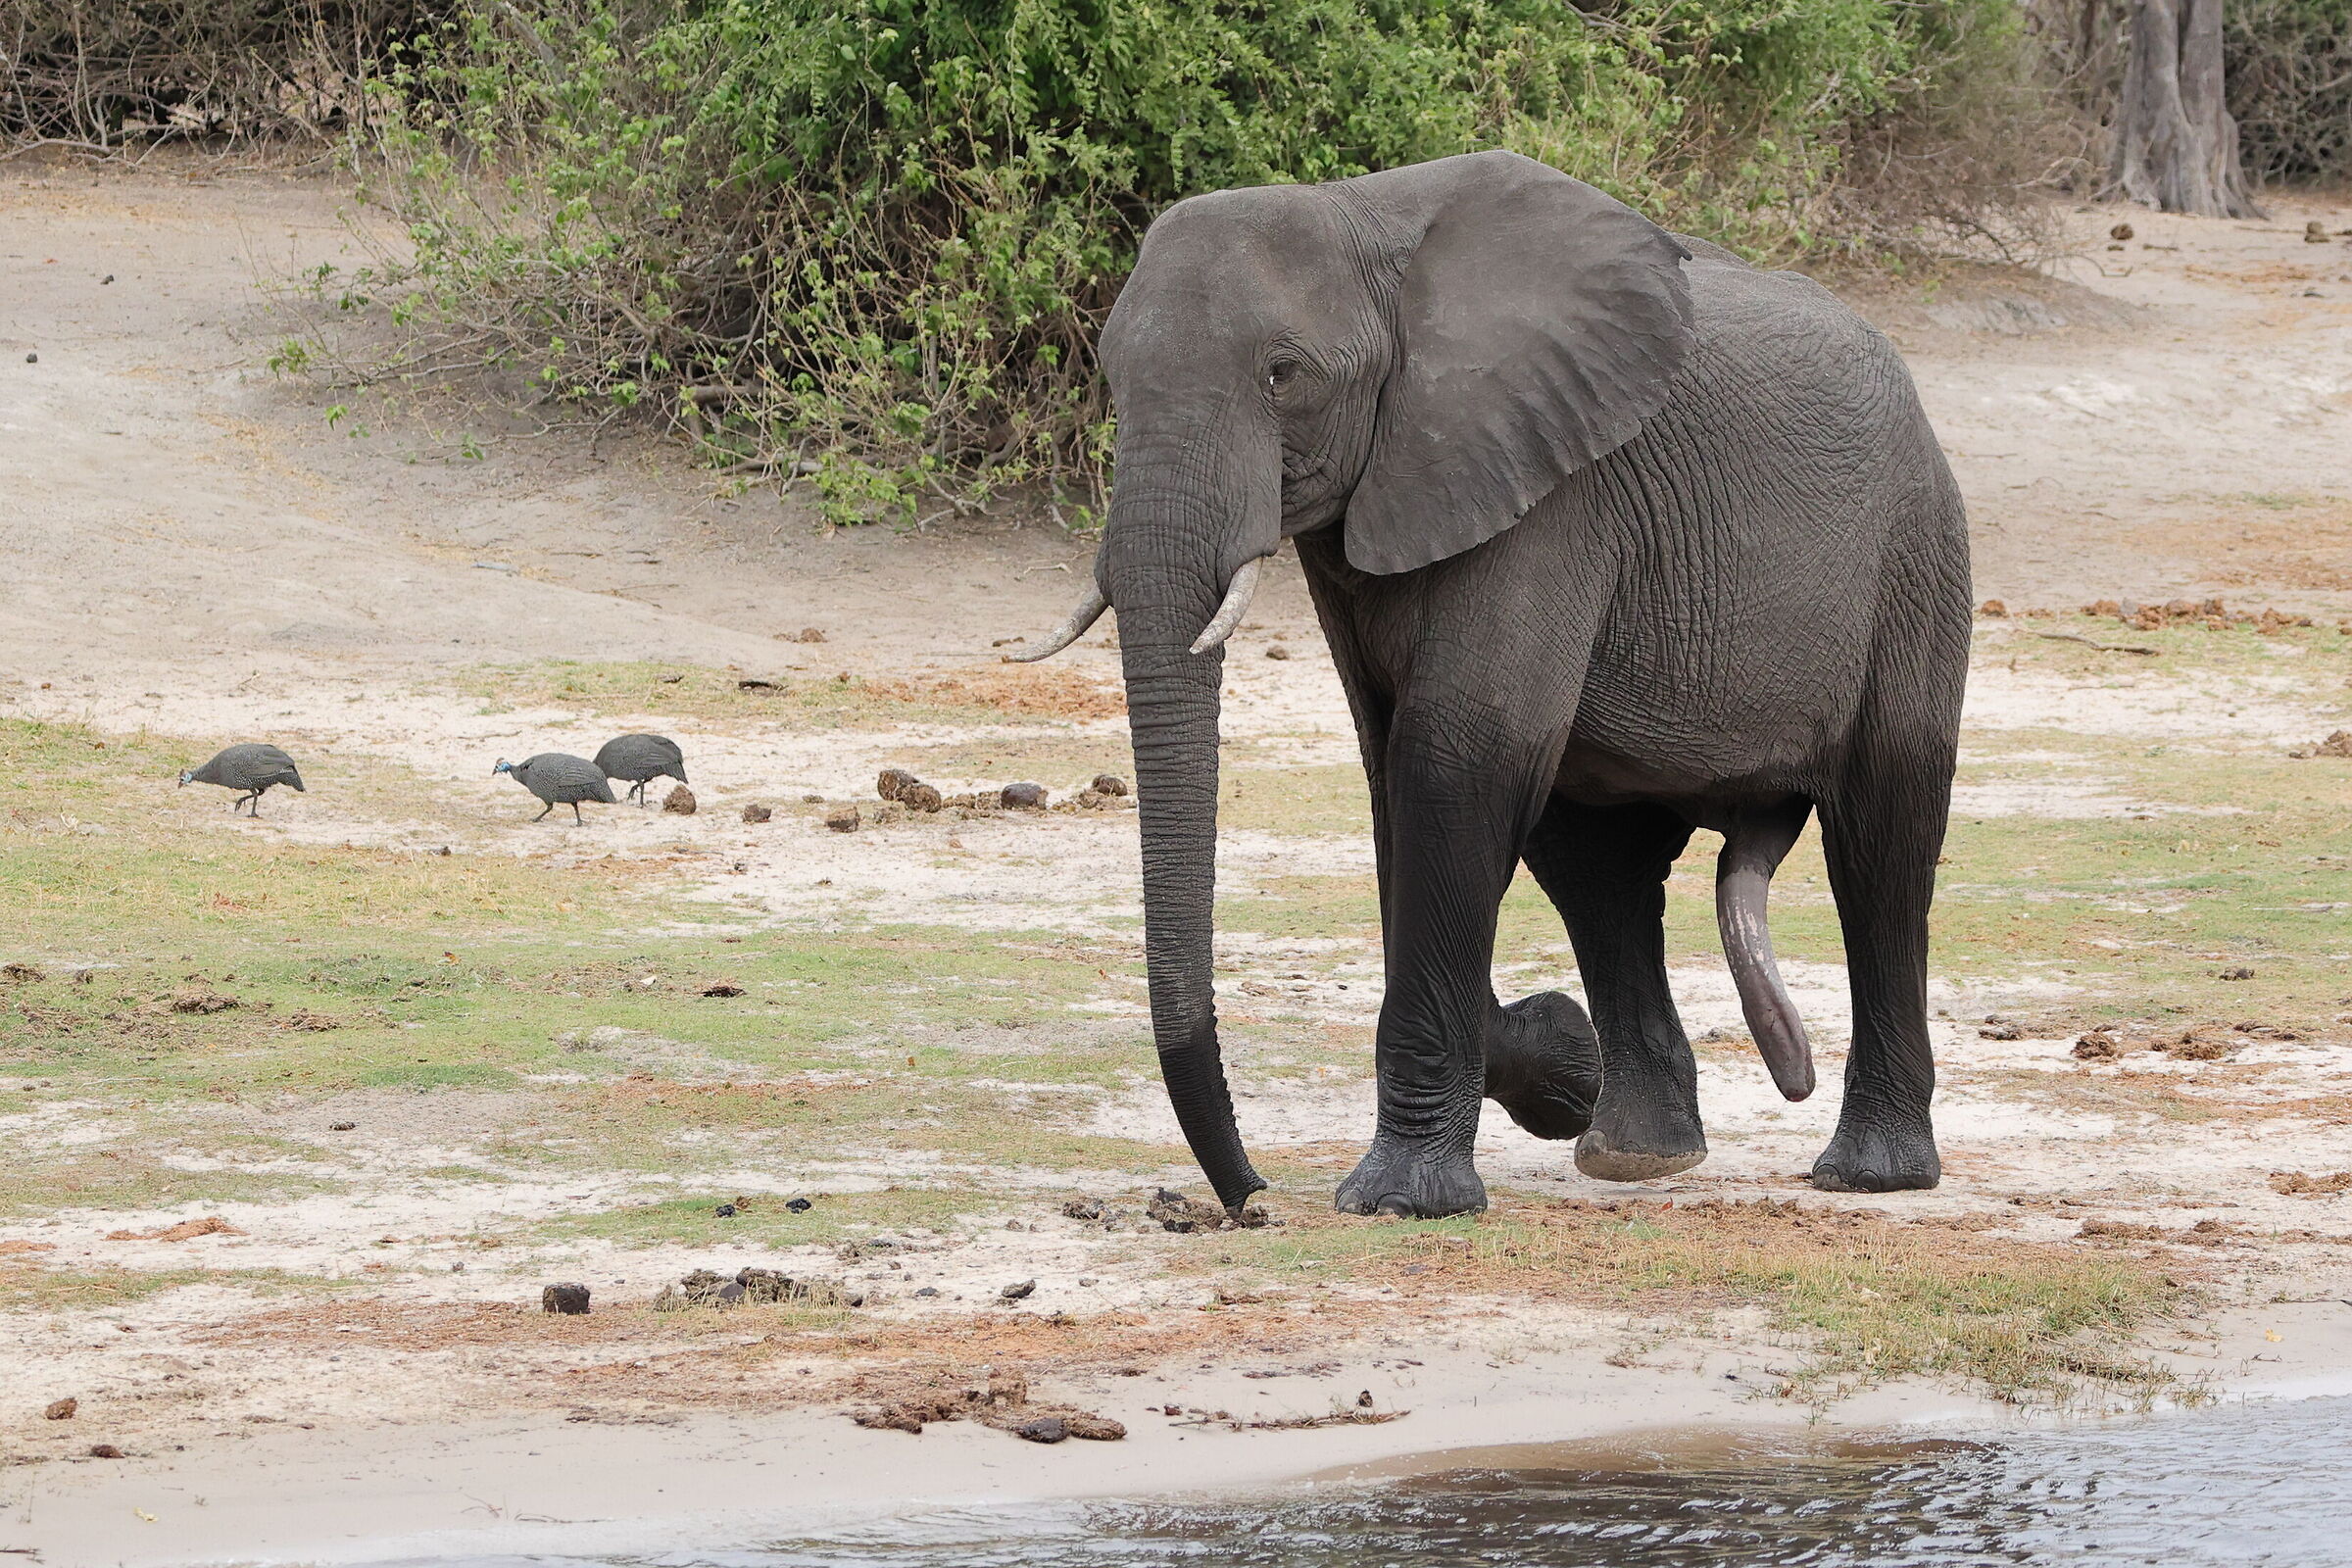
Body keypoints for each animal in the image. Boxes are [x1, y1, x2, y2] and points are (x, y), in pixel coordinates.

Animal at [1013, 150, 1970, 1219]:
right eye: (1110, 374)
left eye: (1283, 374)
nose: (1249, 1195)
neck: (1365, 218)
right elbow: (1395, 775)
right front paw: (1559, 1063)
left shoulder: (1552, 494)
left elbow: (1452, 757)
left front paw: (1400, 1201)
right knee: (1597, 866)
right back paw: (1635, 1153)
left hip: (1916, 556)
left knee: (1881, 845)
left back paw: (1869, 1174)